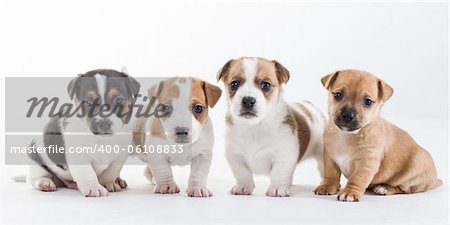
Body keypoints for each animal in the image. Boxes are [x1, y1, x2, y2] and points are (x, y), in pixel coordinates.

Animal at [217, 56, 326, 197]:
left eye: (266, 85)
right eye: (234, 84)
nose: (248, 100)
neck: (254, 126)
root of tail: (309, 105)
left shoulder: (284, 155)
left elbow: (279, 173)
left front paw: (278, 188)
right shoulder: (235, 156)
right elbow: (242, 173)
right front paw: (243, 186)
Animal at [314, 69, 442, 201]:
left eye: (368, 102)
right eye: (338, 95)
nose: (348, 115)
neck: (348, 135)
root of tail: (434, 180)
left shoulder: (366, 164)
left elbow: (357, 179)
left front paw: (349, 192)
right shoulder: (330, 159)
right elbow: (331, 174)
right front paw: (327, 186)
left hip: (413, 172)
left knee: (402, 188)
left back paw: (384, 188)